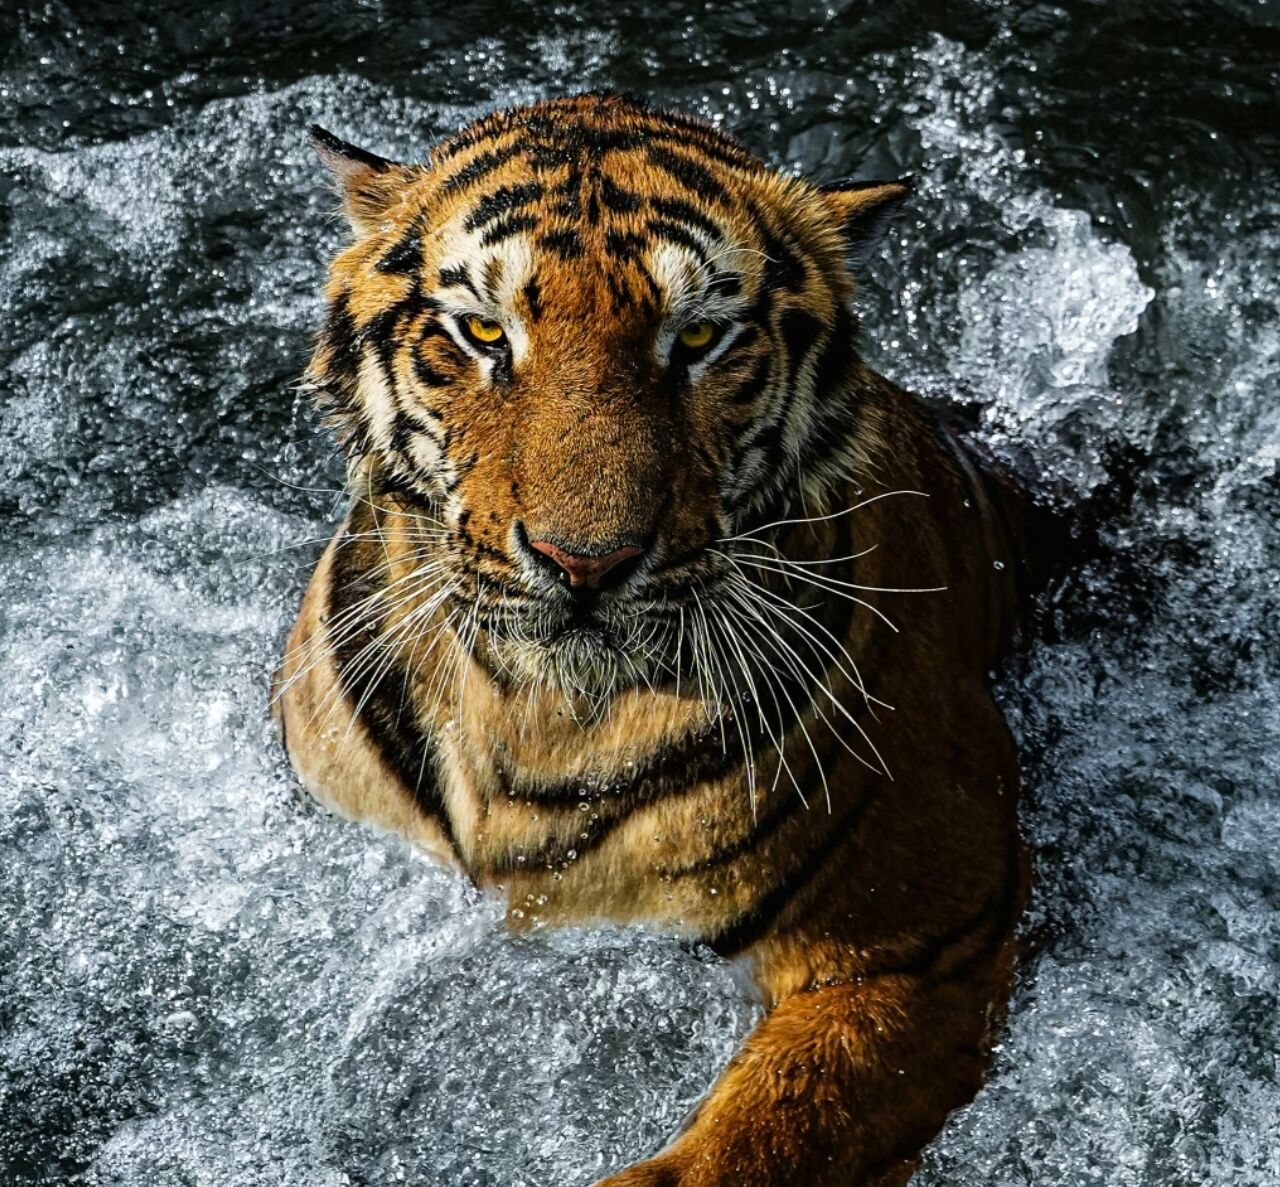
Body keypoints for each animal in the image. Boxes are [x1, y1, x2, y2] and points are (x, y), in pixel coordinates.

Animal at [274, 93, 1043, 1186]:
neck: (541, 713)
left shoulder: (921, 943)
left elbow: (768, 1130)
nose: (585, 562)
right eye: (482, 331)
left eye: (701, 338)